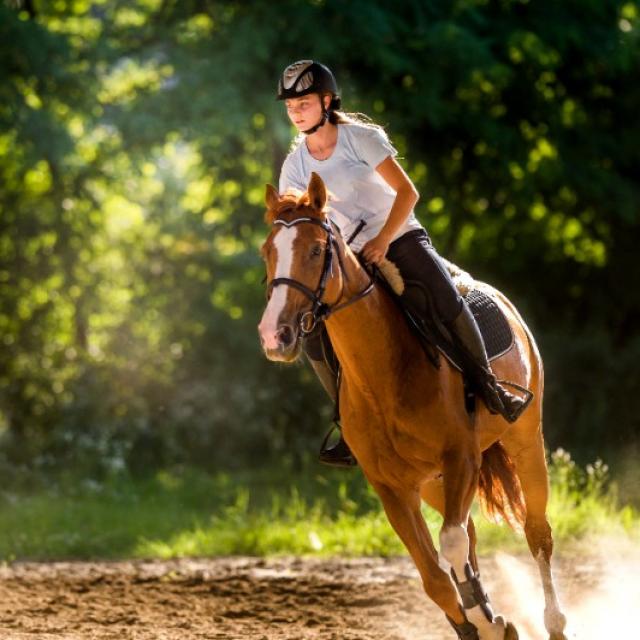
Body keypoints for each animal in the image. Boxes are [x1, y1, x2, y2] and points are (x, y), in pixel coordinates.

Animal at [258, 170, 568, 640]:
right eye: (268, 252)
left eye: (314, 250)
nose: (275, 335)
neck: (383, 376)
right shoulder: (392, 487)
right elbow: (435, 577)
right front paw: (482, 623)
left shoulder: (461, 458)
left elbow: (452, 546)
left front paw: (487, 619)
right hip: (433, 482)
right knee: (470, 534)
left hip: (525, 442)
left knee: (536, 532)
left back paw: (554, 622)